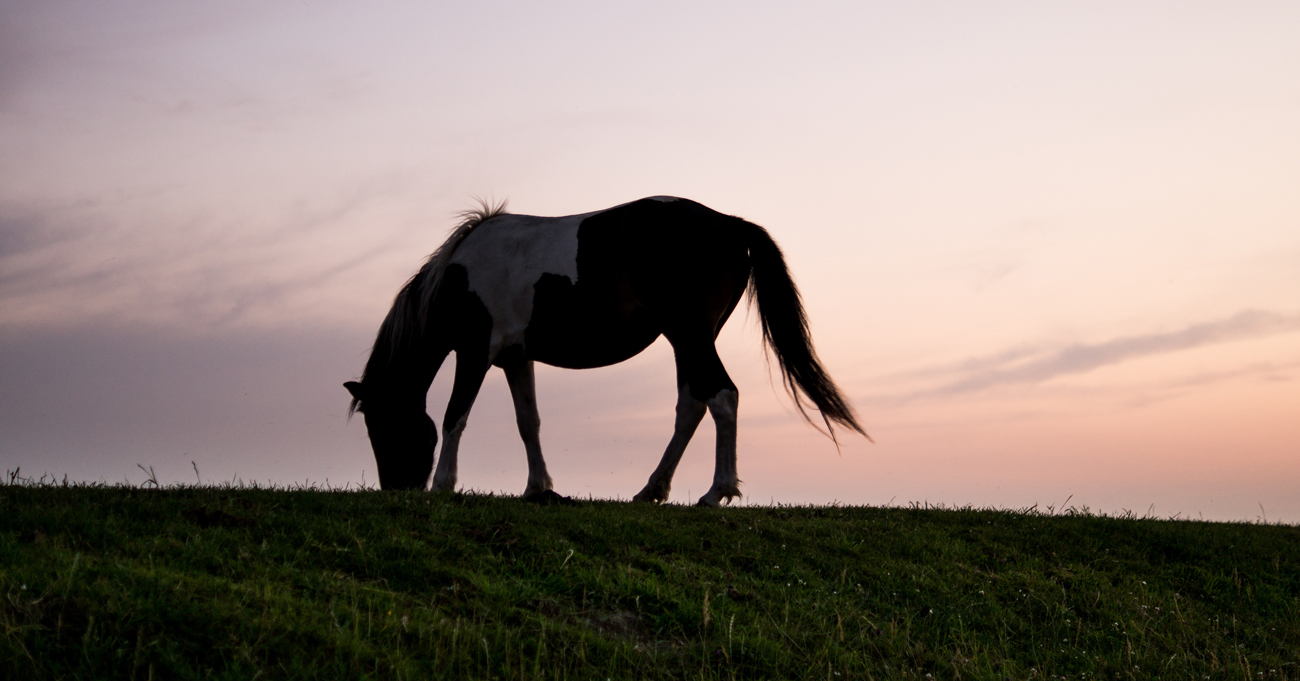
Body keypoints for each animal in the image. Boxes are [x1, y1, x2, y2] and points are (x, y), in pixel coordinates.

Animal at [345, 196, 863, 504]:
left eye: (382, 426)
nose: (396, 489)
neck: (458, 276)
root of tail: (729, 225)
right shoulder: (515, 357)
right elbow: (528, 422)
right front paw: (539, 488)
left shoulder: (475, 352)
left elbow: (456, 415)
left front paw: (443, 485)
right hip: (687, 340)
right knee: (693, 404)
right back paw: (653, 489)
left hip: (691, 335)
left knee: (722, 397)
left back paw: (717, 491)